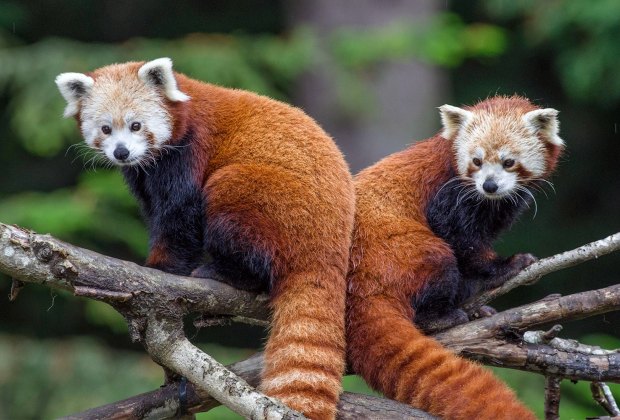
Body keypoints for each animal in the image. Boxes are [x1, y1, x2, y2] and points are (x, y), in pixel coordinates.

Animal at [57, 57, 358, 418]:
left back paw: (223, 272)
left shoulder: (188, 153)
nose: (121, 153)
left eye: (136, 126)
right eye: (105, 129)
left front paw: (160, 269)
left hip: (263, 198)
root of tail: (330, 244)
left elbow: (180, 217)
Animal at [346, 96, 564, 420]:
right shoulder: (449, 193)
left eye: (508, 162)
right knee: (441, 263)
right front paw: (504, 267)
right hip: (407, 251)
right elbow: (460, 239)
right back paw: (442, 316)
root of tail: (359, 282)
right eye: (476, 161)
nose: (489, 185)